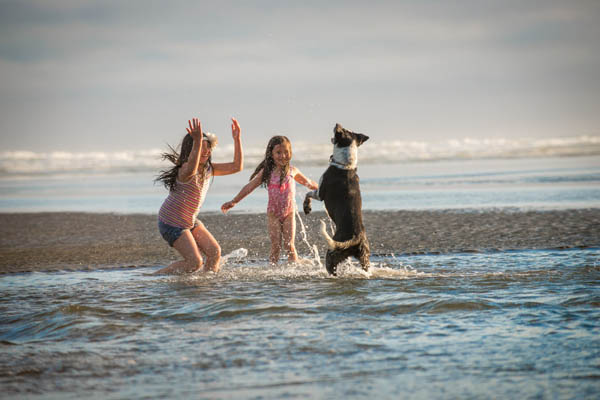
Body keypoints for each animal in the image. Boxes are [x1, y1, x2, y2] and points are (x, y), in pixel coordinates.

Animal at [304, 124, 370, 276]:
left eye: (341, 130)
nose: (336, 124)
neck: (345, 164)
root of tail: (356, 237)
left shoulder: (320, 193)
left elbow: (308, 194)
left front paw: (307, 207)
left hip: (332, 253)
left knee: (331, 268)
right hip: (364, 256)